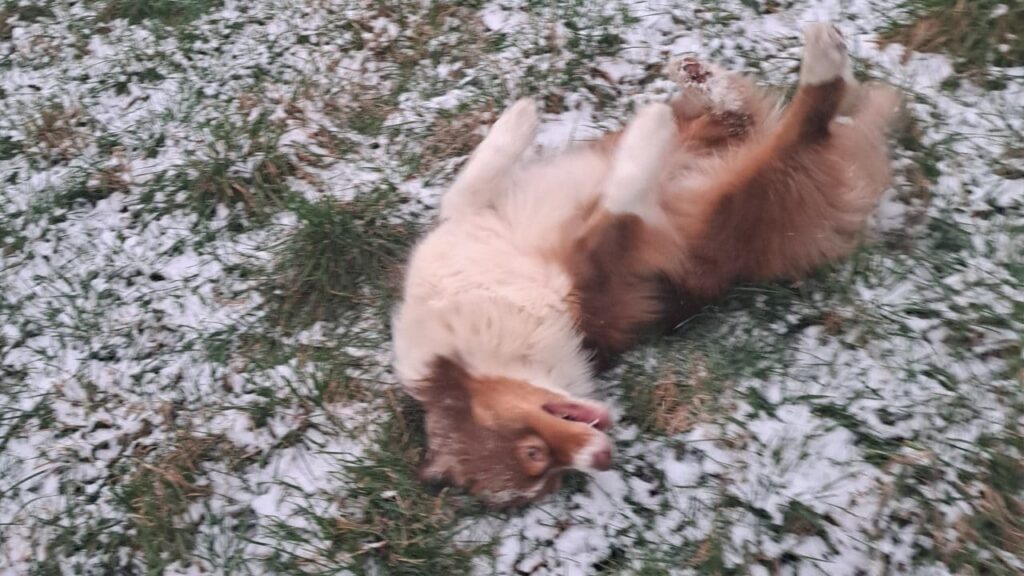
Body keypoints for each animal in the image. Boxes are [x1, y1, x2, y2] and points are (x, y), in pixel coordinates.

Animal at [389, 24, 897, 504]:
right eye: (546, 477)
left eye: (532, 453)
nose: (602, 457)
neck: (479, 326)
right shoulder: (598, 273)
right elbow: (622, 199)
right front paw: (647, 135)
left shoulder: (474, 224)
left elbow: (470, 181)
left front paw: (520, 119)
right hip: (728, 205)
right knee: (801, 128)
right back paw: (814, 67)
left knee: (739, 117)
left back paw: (710, 77)